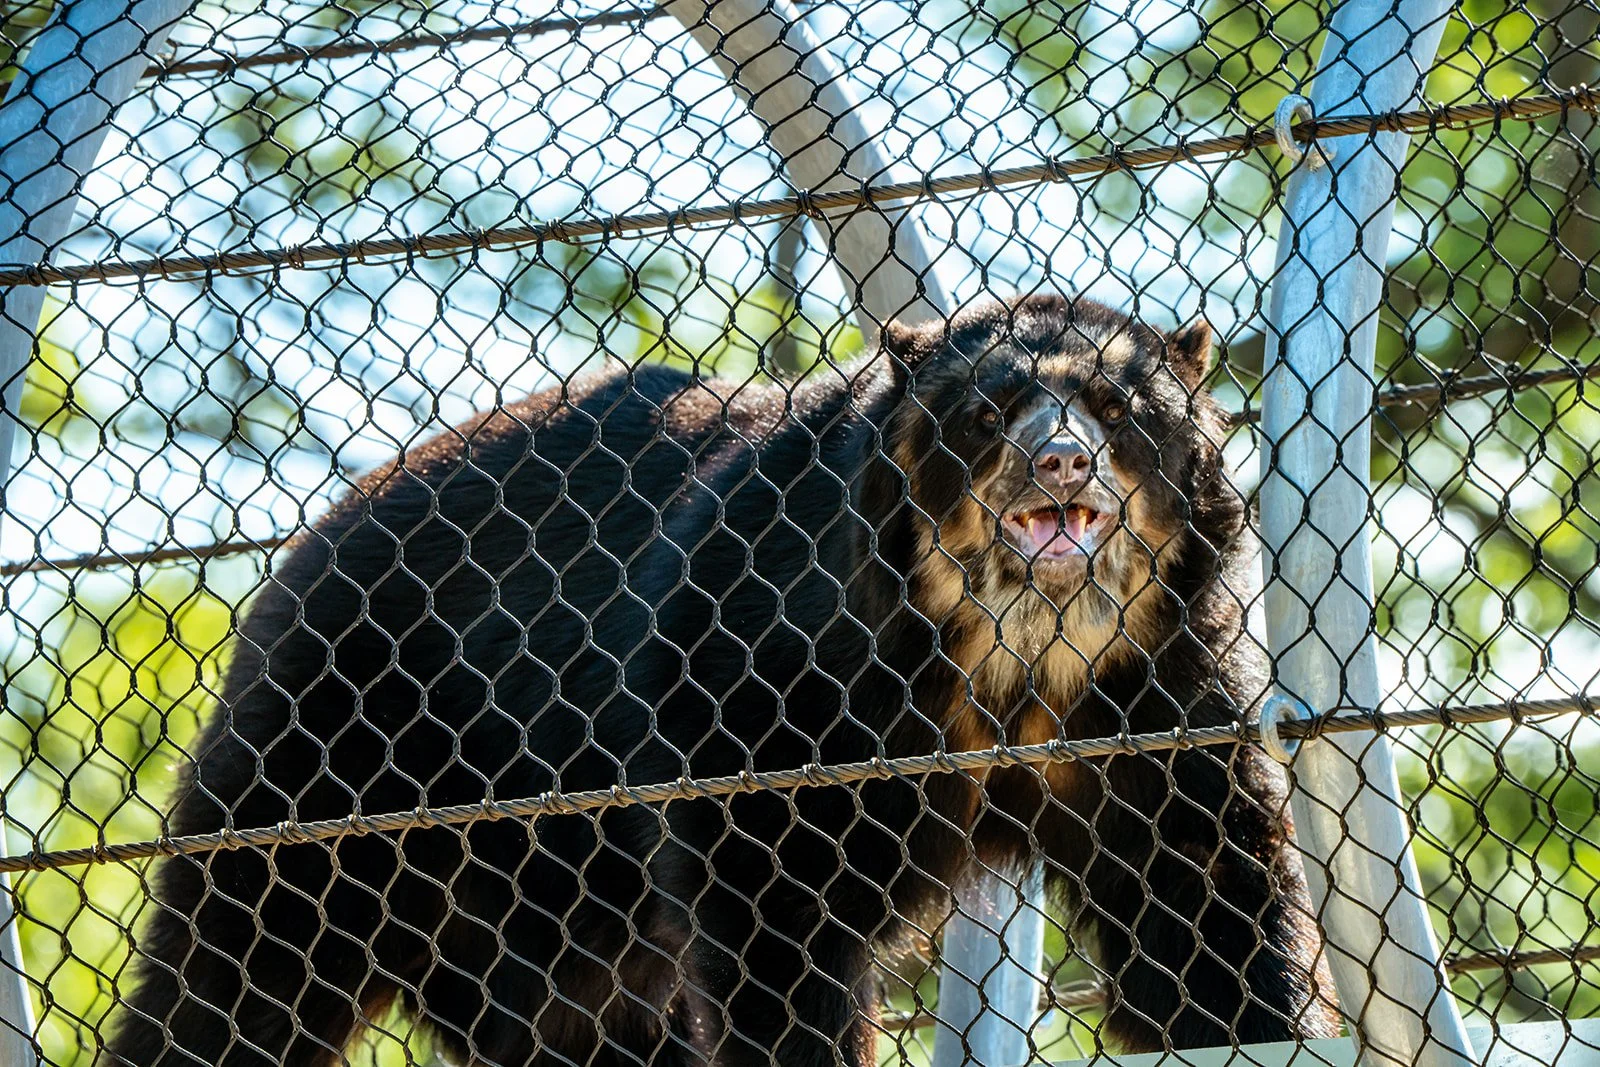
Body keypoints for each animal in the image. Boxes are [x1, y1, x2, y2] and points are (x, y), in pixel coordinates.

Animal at [104, 294, 1339, 1067]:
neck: (1008, 660)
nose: (1060, 461)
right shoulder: (768, 677)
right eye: (987, 411)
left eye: (1122, 407)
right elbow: (774, 910)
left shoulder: (1156, 690)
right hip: (349, 755)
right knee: (246, 962)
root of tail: (310, 542)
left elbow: (1205, 894)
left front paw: (1263, 1015)